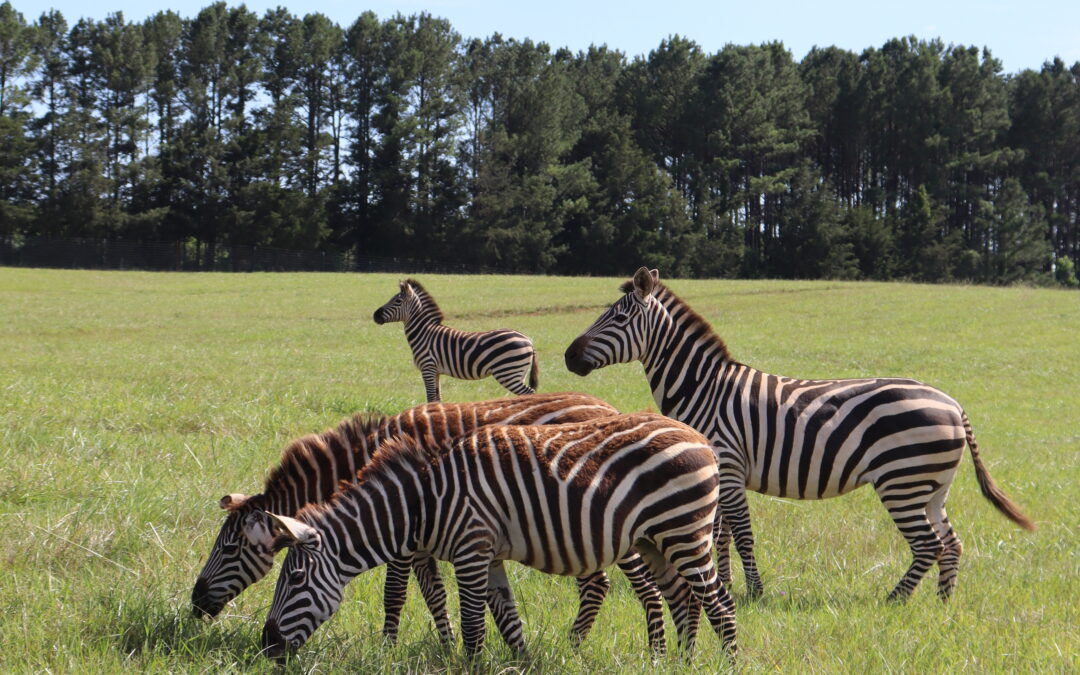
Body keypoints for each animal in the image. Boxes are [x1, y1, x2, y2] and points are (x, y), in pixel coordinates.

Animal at [190, 393, 669, 652]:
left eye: (228, 549)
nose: (195, 604)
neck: (364, 460)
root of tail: (605, 404)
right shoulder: (422, 533)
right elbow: (433, 594)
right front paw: (447, 644)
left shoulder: (405, 528)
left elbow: (395, 594)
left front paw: (388, 648)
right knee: (601, 584)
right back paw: (577, 644)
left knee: (636, 587)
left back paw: (642, 649)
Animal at [257, 412, 738, 660]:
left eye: (294, 580)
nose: (266, 646)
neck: (423, 502)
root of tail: (698, 436)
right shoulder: (488, 555)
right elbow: (507, 619)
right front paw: (522, 663)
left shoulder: (471, 549)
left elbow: (473, 625)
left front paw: (470, 665)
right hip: (654, 540)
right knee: (681, 598)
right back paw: (680, 662)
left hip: (685, 531)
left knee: (719, 603)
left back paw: (725, 662)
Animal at [375, 278, 540, 399]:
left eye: (397, 301)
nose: (375, 315)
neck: (424, 333)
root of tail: (528, 340)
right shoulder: (435, 371)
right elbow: (437, 398)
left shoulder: (427, 367)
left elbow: (430, 397)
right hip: (518, 373)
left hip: (508, 372)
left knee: (530, 394)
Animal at [561, 266, 1032, 600]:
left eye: (618, 317)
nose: (568, 356)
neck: (704, 386)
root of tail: (952, 403)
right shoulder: (717, 472)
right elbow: (721, 534)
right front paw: (724, 584)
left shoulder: (727, 464)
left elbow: (740, 533)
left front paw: (754, 591)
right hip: (932, 486)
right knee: (952, 544)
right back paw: (941, 604)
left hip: (903, 481)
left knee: (929, 545)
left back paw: (894, 600)